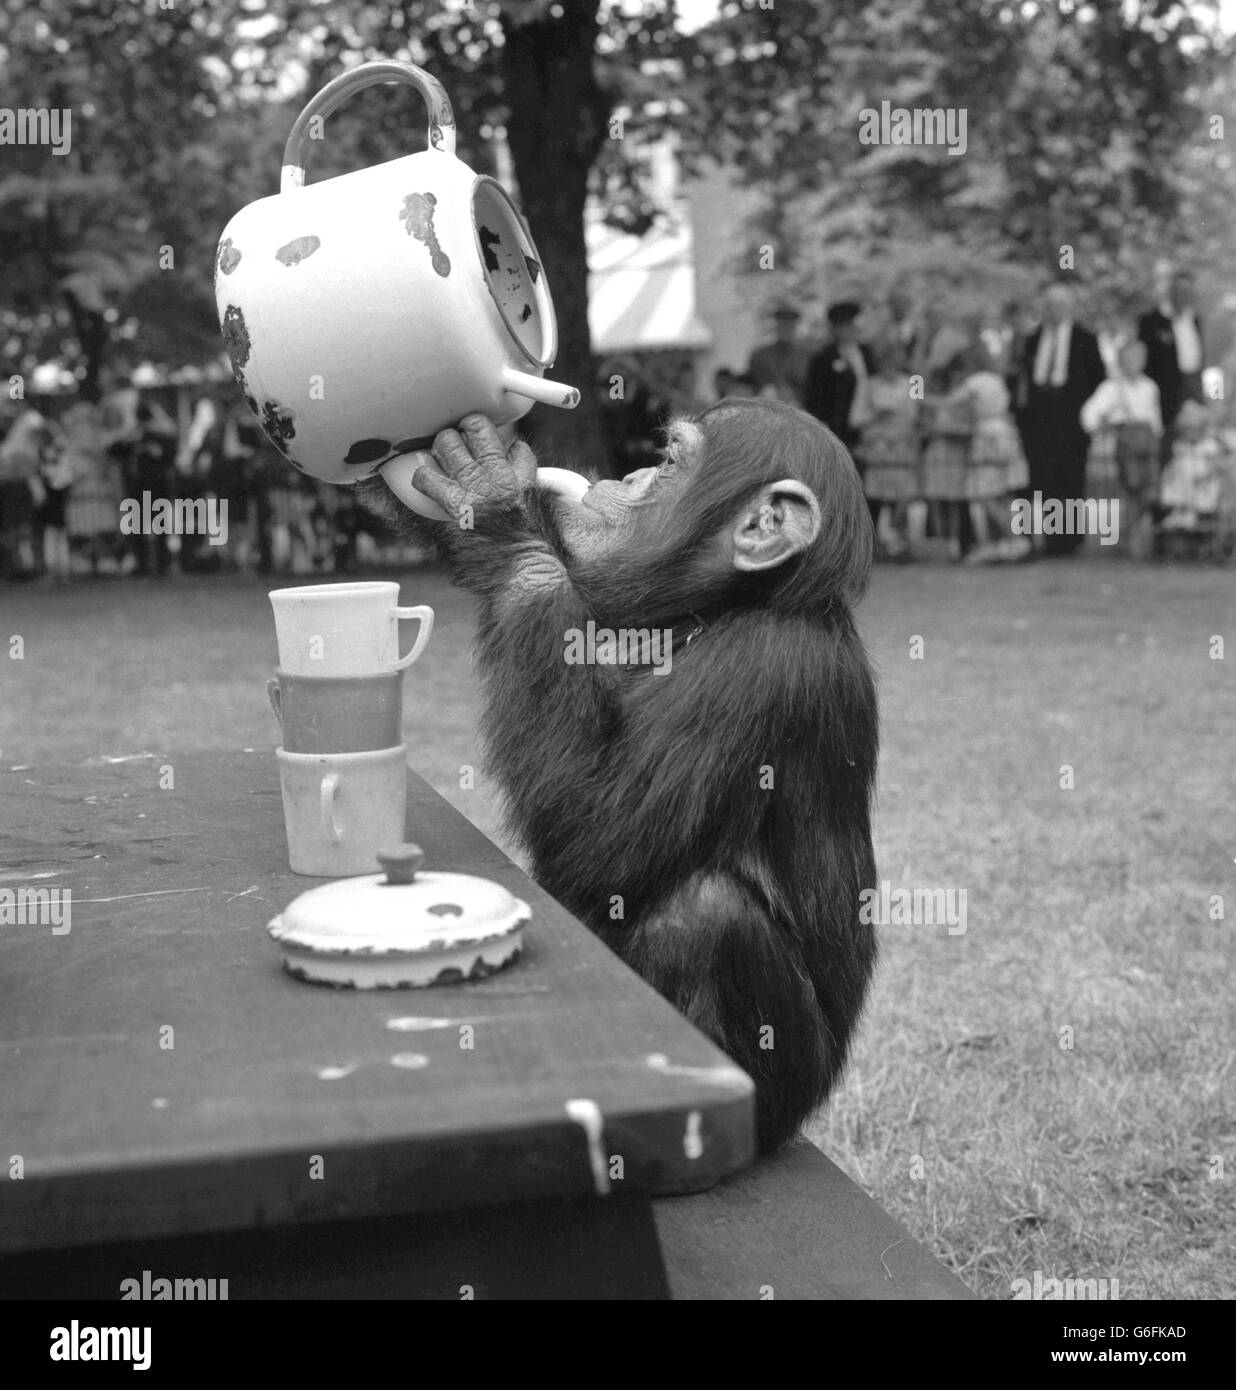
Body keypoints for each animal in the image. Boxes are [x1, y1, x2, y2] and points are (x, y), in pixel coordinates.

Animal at [361, 400, 873, 1150]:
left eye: (669, 463)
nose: (627, 476)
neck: (721, 607)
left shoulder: (759, 669)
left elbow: (599, 835)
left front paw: (493, 504)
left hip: (788, 1094)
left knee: (704, 916)